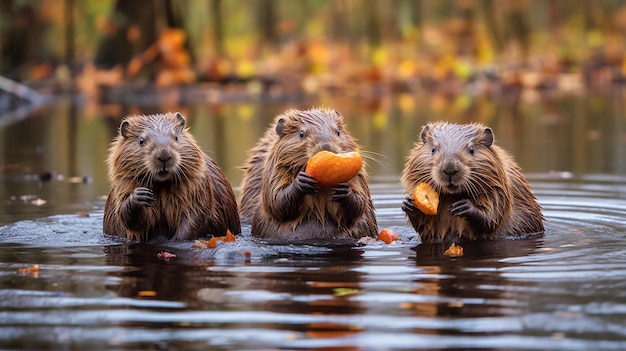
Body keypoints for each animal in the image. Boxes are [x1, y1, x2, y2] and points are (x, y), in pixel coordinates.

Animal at [102, 113, 239, 242]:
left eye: (176, 137)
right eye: (141, 140)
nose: (164, 155)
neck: (162, 186)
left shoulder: (198, 186)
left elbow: (195, 215)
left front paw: (175, 240)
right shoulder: (123, 185)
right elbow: (127, 217)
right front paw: (141, 195)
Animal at [238, 108, 376, 243]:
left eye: (338, 132)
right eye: (301, 134)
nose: (326, 147)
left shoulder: (358, 177)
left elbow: (360, 202)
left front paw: (343, 189)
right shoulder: (275, 170)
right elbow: (275, 199)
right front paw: (301, 182)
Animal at [400, 122, 540, 243]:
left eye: (472, 150)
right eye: (433, 149)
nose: (449, 168)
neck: (451, 197)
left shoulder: (499, 188)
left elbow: (492, 215)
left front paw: (463, 207)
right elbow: (425, 225)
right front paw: (408, 203)